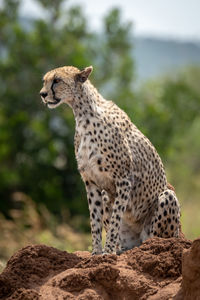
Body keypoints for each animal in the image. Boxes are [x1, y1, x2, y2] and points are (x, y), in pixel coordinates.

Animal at [39, 66, 180, 255]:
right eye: (45, 81)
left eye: (57, 80)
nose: (42, 94)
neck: (83, 114)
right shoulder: (91, 181)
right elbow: (95, 220)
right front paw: (96, 252)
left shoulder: (124, 179)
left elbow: (115, 219)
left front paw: (109, 250)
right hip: (109, 198)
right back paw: (121, 249)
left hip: (167, 199)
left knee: (153, 238)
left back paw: (145, 246)